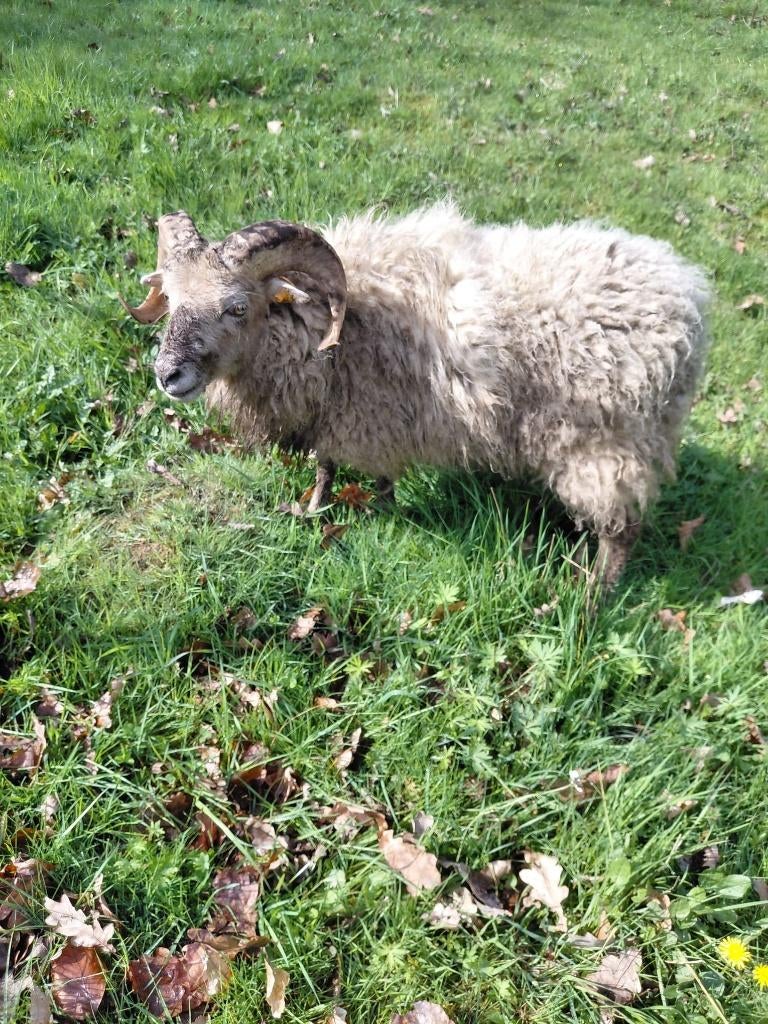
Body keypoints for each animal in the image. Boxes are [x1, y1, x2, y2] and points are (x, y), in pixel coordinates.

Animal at [121, 203, 710, 589]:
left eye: (237, 307)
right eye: (171, 300)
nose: (167, 375)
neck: (328, 322)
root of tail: (691, 304)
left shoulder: (373, 413)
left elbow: (370, 473)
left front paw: (377, 509)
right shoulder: (337, 410)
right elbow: (325, 465)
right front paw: (314, 508)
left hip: (609, 445)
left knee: (621, 532)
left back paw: (590, 596)